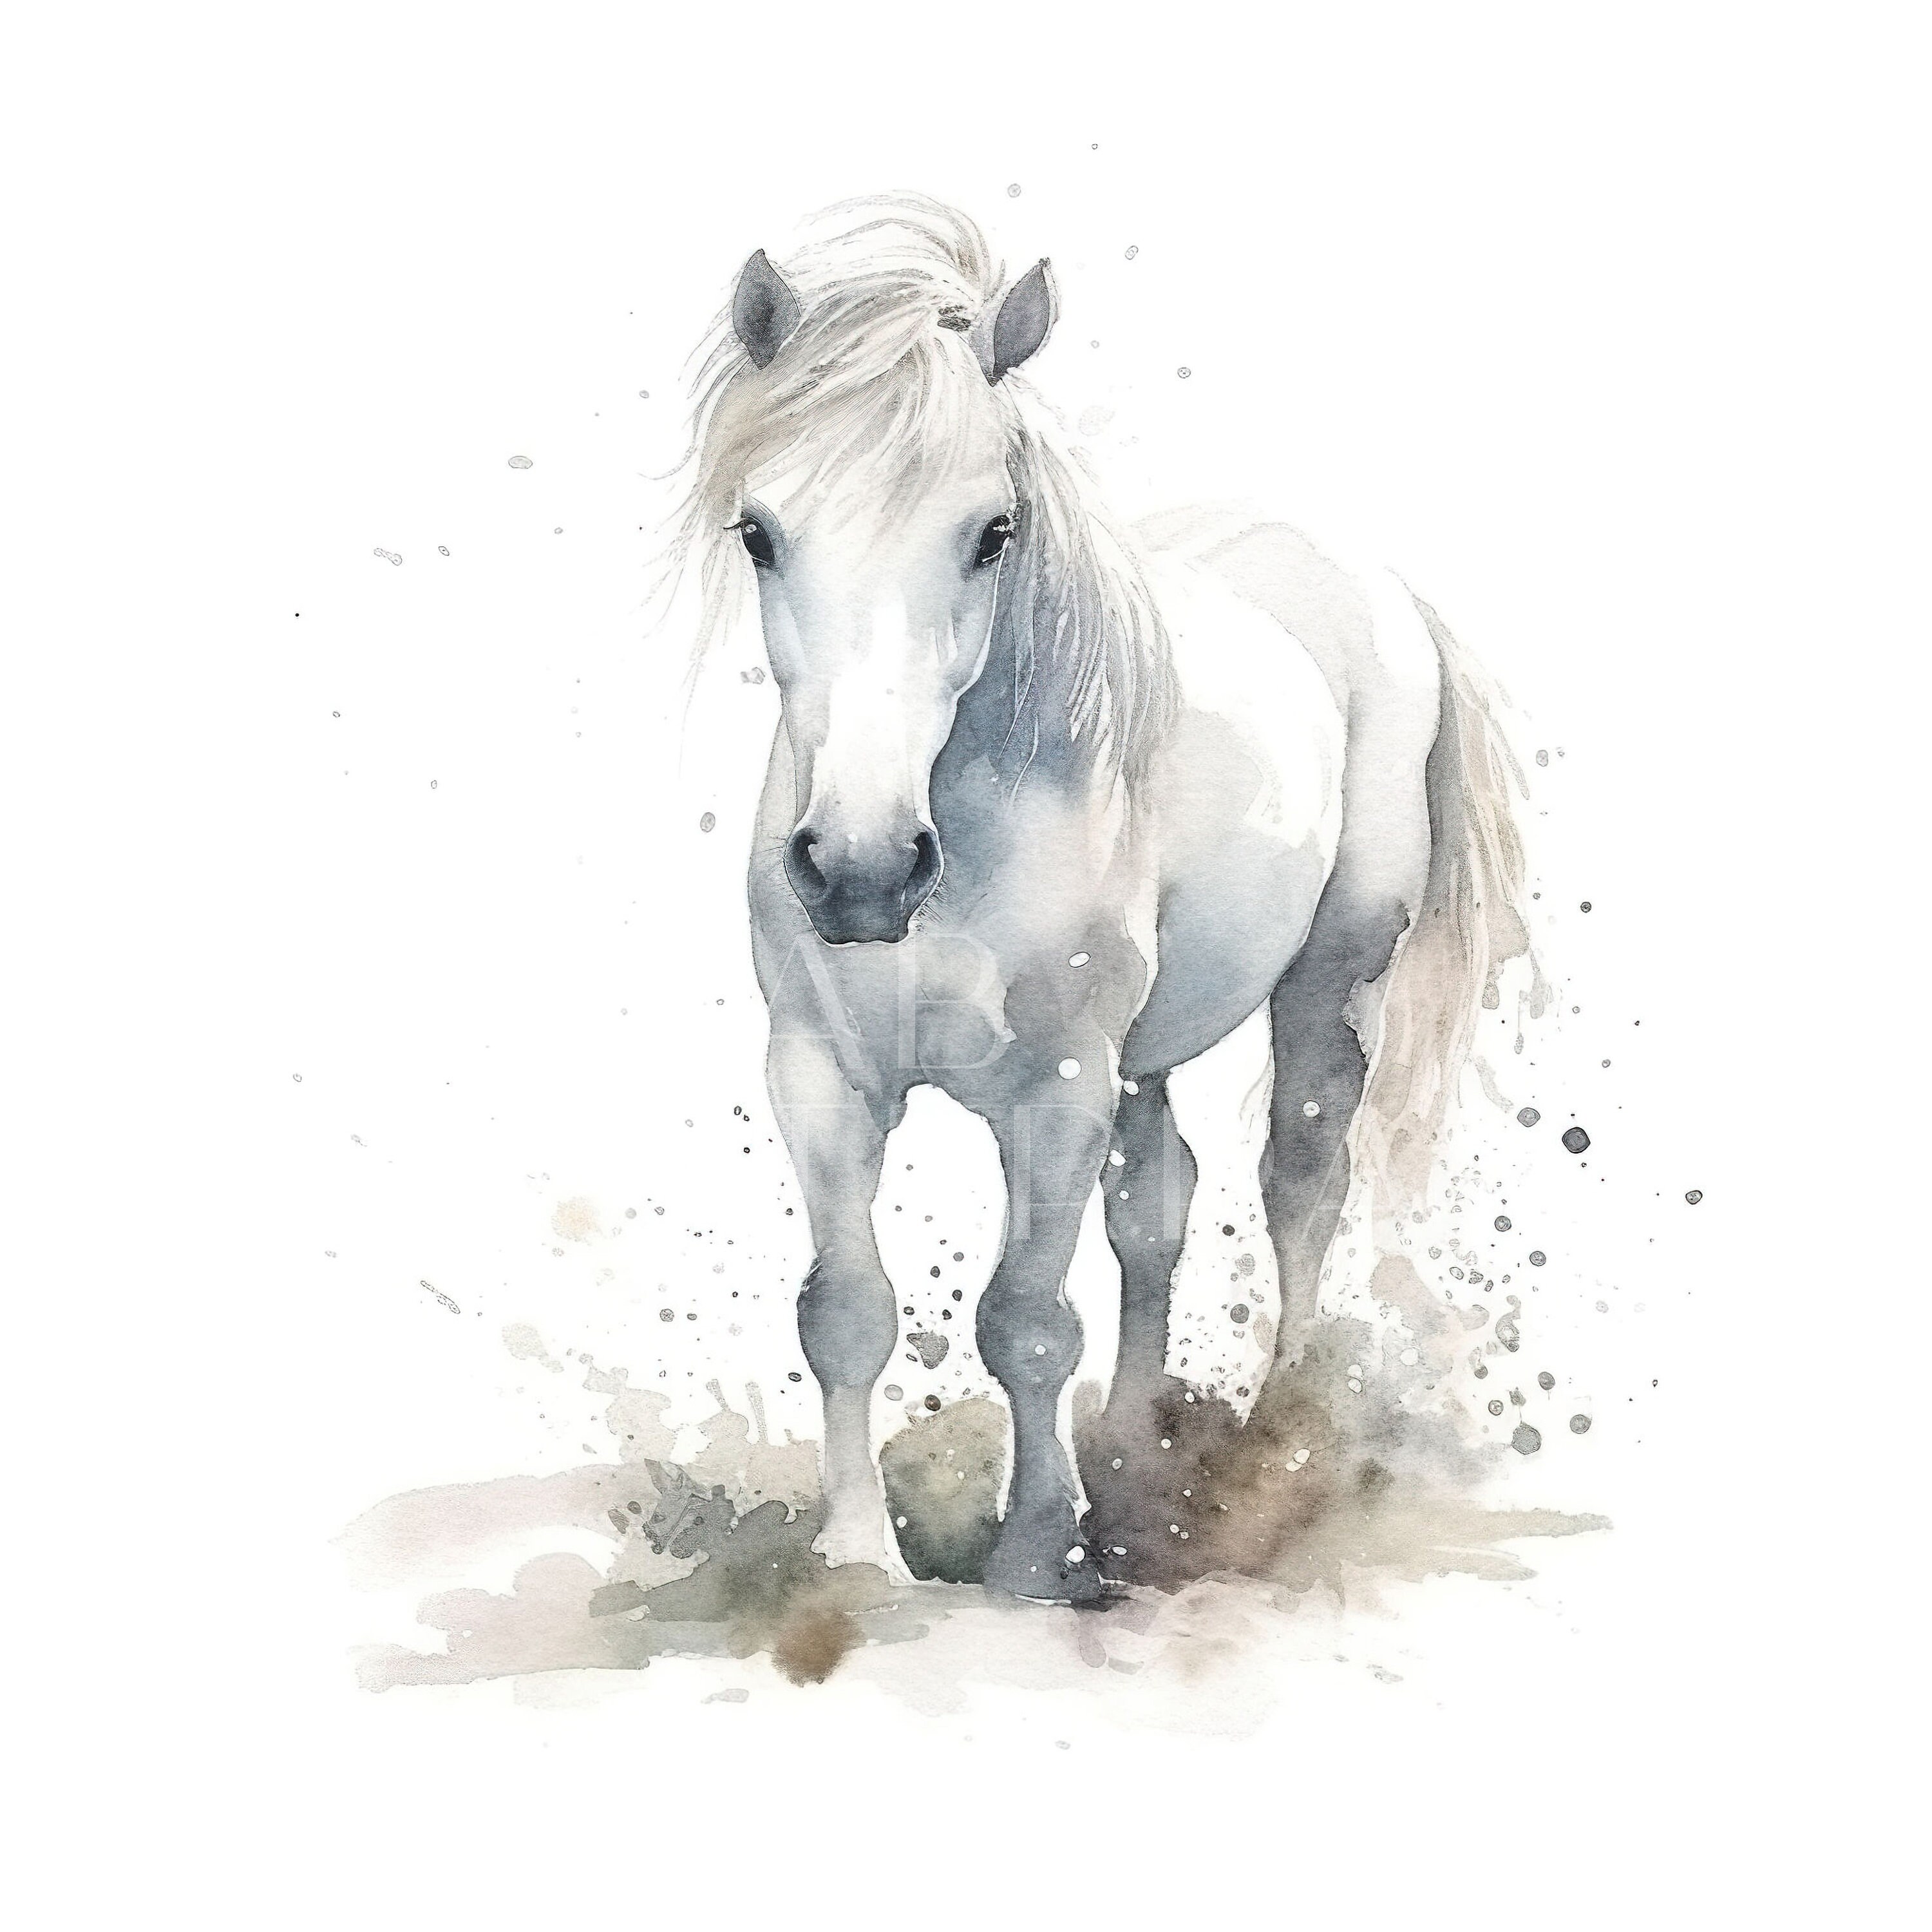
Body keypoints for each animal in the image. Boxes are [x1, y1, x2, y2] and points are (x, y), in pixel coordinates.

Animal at [673, 195, 1534, 1603]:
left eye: (992, 534)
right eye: (760, 532)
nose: (861, 869)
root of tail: (1365, 579)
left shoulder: (1057, 1086)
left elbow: (1027, 1319)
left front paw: (1032, 1553)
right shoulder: (819, 1072)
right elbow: (844, 1312)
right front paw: (858, 1558)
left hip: (1329, 984)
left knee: (1302, 1182)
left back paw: (1273, 1445)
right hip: (1145, 1049)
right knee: (1157, 1210)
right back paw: (1132, 1442)